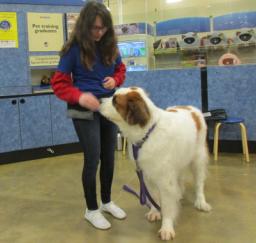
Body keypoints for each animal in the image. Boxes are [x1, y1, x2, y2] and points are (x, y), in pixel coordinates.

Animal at [99, 86, 211, 240]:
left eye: (115, 101)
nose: (99, 100)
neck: (147, 133)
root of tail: (192, 109)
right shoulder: (146, 174)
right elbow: (153, 196)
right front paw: (155, 212)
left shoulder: (165, 180)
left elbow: (168, 205)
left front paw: (167, 227)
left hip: (198, 159)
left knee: (199, 183)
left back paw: (200, 201)